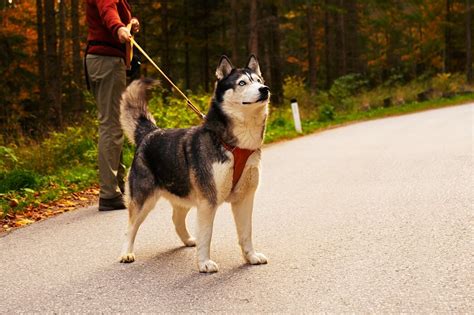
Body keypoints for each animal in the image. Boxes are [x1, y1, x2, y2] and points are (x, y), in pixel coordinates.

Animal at [118, 55, 270, 272]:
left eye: (258, 80)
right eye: (242, 83)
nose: (265, 89)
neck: (237, 145)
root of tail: (150, 132)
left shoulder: (245, 198)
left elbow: (246, 233)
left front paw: (251, 257)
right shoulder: (208, 200)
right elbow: (206, 235)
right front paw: (204, 263)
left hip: (184, 193)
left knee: (176, 218)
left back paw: (189, 240)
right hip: (143, 200)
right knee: (130, 226)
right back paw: (126, 253)